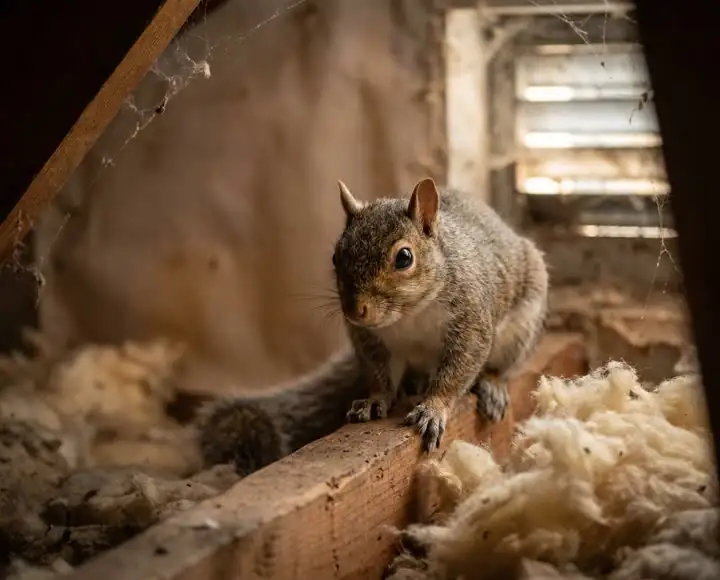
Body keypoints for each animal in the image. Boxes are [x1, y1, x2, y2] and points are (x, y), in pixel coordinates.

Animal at [197, 177, 548, 472]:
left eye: (404, 257)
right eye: (336, 257)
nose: (355, 311)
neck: (409, 314)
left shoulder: (470, 321)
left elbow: (456, 371)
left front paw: (433, 408)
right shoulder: (370, 339)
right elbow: (380, 374)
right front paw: (375, 400)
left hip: (520, 327)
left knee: (499, 366)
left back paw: (490, 385)